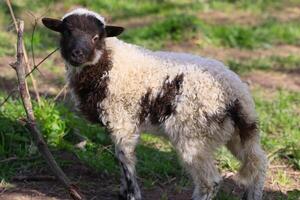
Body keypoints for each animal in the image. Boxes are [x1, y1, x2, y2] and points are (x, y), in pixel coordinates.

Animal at [41, 8, 268, 200]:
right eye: (66, 32)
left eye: (96, 37)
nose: (77, 54)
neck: (106, 63)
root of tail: (237, 95)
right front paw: (123, 192)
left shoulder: (122, 121)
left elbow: (125, 159)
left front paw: (131, 194)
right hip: (237, 134)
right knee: (258, 164)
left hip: (194, 135)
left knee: (210, 181)